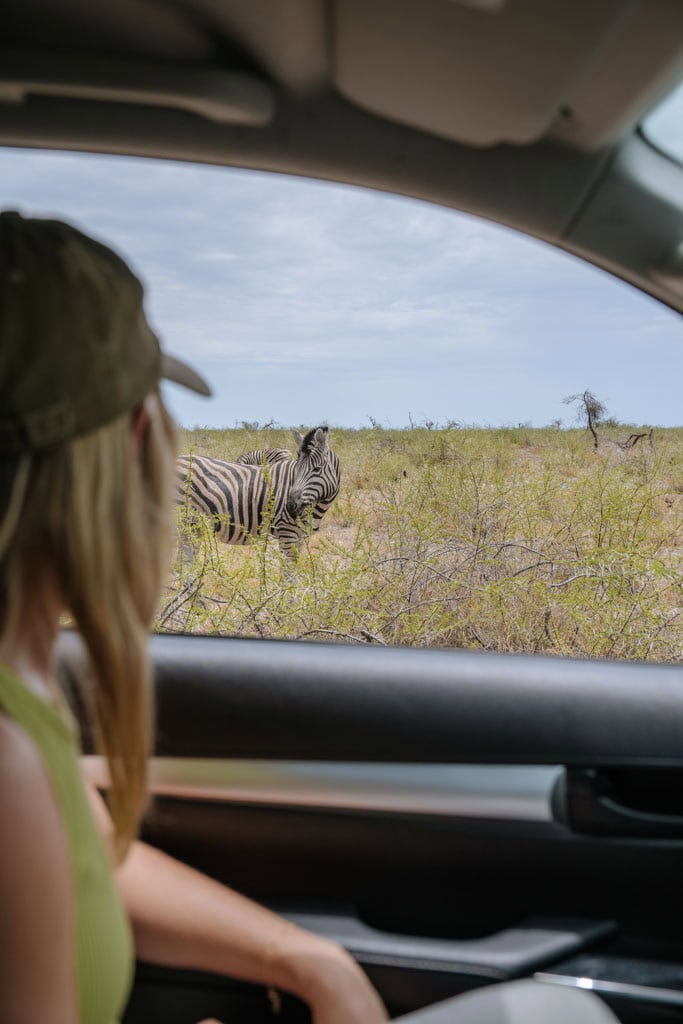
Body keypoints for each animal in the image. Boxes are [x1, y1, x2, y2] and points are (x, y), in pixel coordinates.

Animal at [176, 425, 342, 561]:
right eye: (297, 468)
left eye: (317, 469)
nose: (290, 506)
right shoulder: (287, 534)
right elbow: (289, 574)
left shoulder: (301, 538)